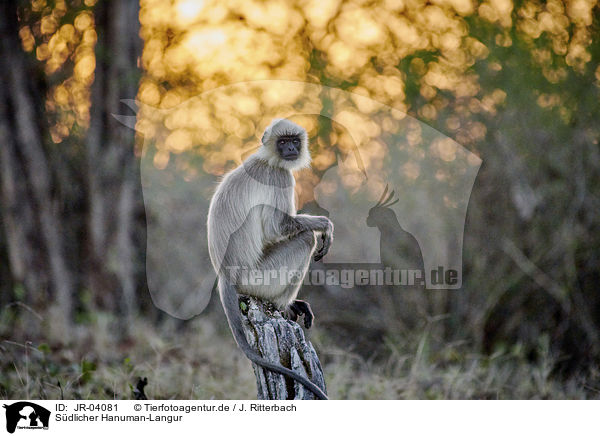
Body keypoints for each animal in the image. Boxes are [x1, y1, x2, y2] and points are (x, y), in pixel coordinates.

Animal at [207, 117, 332, 400]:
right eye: (283, 142)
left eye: (294, 140)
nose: (291, 150)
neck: (267, 160)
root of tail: (225, 276)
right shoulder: (279, 177)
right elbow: (278, 227)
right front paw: (324, 226)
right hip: (258, 278)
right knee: (305, 239)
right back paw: (283, 306)